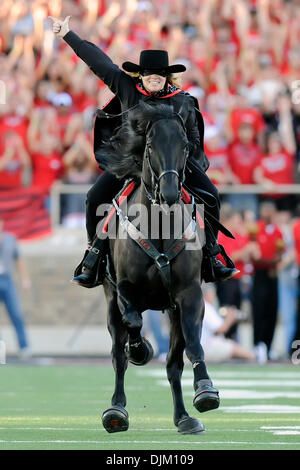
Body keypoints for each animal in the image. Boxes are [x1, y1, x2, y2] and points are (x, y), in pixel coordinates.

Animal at [99, 103, 219, 436]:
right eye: (150, 145)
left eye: (186, 145)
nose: (168, 192)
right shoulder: (123, 289)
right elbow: (133, 321)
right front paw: (140, 349)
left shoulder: (189, 295)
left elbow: (192, 344)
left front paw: (205, 390)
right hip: (110, 303)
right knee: (118, 355)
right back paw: (116, 411)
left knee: (173, 365)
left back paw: (184, 418)